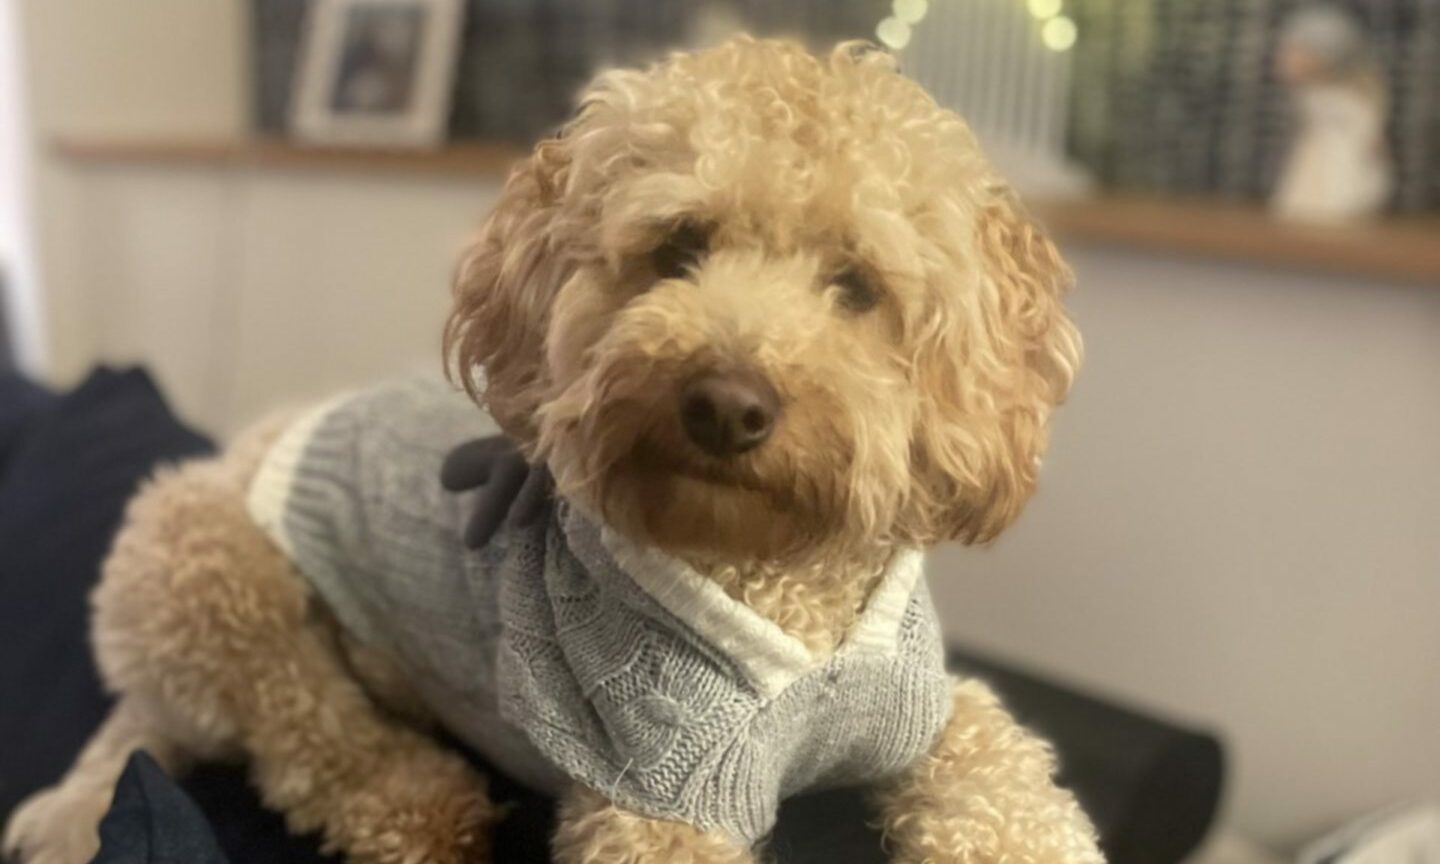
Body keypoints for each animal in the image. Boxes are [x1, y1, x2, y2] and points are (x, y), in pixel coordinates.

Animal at [5, 37, 1094, 864]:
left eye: (856, 285)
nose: (726, 406)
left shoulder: (938, 718)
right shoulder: (655, 801)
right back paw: (416, 799)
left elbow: (1008, 787)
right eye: (678, 248)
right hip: (208, 564)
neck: (775, 584)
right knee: (308, 732)